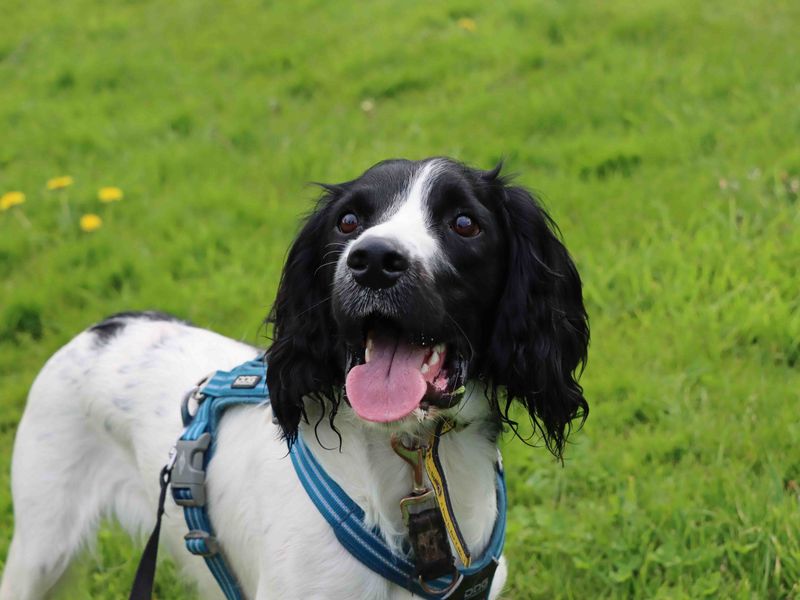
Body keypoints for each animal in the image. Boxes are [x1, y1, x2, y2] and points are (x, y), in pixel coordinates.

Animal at [0, 157, 588, 596]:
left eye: (465, 223)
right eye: (347, 222)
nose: (373, 260)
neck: (414, 458)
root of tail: (106, 323)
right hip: (40, 547)